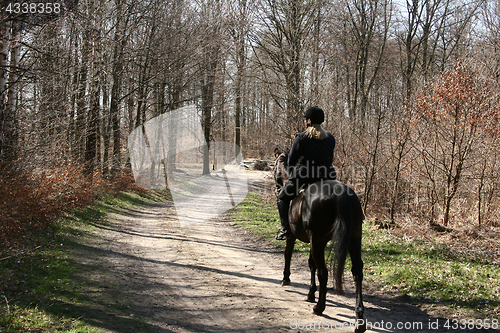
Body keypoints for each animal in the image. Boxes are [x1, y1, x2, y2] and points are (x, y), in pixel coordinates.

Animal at [276, 152, 366, 330]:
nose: (277, 186)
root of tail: (339, 194)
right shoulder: (315, 241)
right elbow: (311, 265)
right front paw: (311, 293)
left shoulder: (296, 237)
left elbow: (288, 255)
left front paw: (286, 279)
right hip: (353, 239)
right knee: (357, 271)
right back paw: (359, 319)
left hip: (317, 241)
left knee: (323, 271)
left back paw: (319, 307)